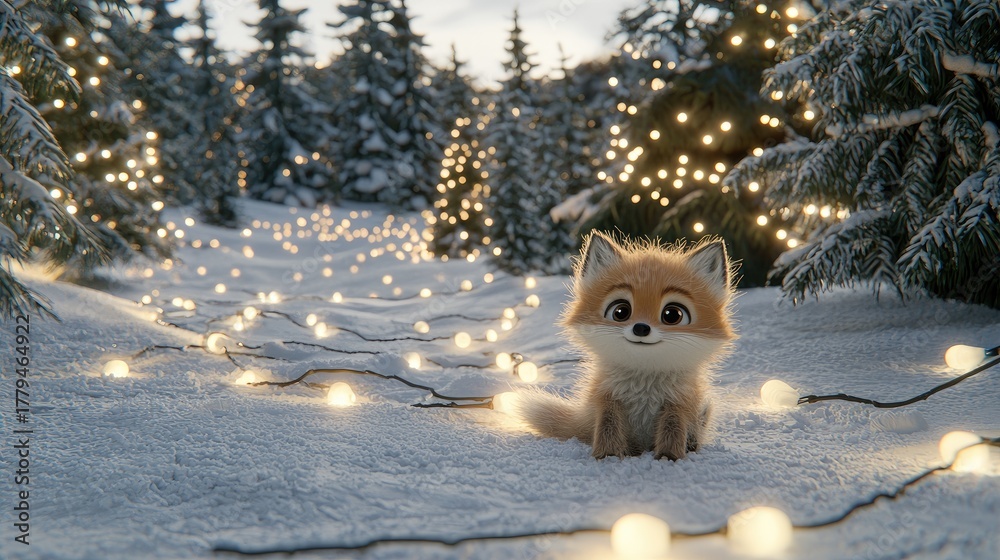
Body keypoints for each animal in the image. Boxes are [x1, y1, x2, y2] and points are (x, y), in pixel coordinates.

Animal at [517, 231, 736, 460]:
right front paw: (608, 457)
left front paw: (669, 458)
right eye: (620, 312)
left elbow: (672, 431)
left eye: (672, 315)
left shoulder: (678, 402)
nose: (641, 328)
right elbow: (608, 429)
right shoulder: (608, 398)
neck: (644, 380)